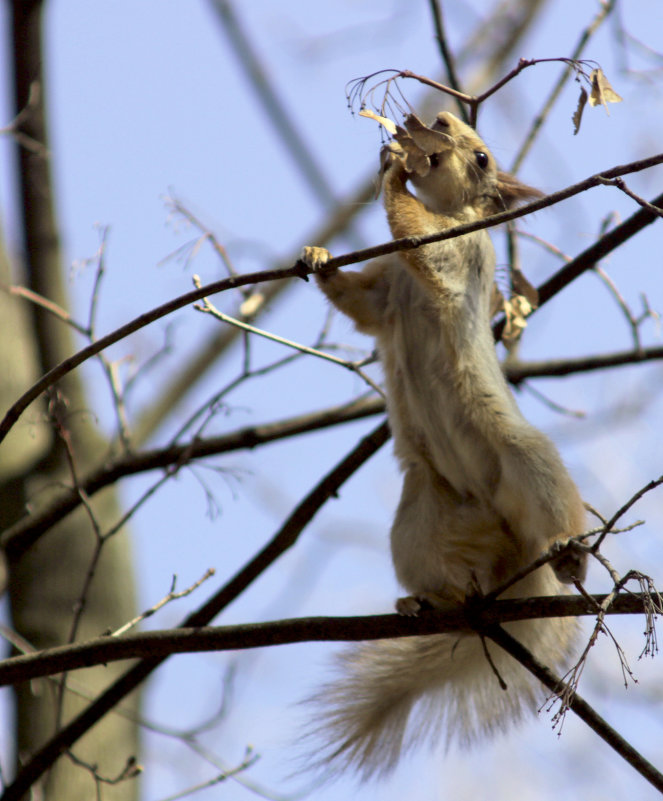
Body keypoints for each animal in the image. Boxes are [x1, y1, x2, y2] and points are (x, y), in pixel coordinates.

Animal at [300, 109, 588, 780]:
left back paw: (568, 550)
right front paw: (320, 257)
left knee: (550, 501)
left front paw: (392, 175)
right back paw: (426, 599)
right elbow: (360, 303)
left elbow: (419, 242)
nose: (433, 117)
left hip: (522, 459)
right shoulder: (384, 291)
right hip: (422, 515)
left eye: (481, 157)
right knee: (449, 568)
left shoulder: (456, 253)